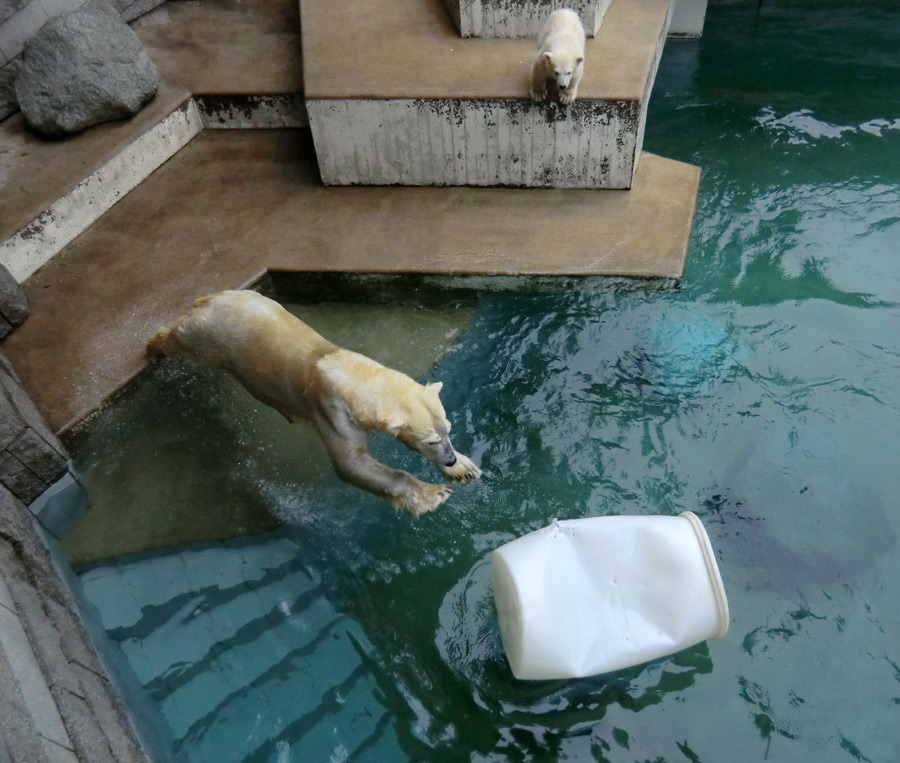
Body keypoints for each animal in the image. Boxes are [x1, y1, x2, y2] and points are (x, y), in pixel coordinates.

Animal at [148, 290, 482, 516]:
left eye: (448, 429)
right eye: (430, 440)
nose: (449, 458)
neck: (348, 370)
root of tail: (214, 297)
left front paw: (465, 469)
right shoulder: (331, 409)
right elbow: (350, 463)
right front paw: (434, 493)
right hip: (211, 337)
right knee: (179, 340)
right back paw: (154, 347)